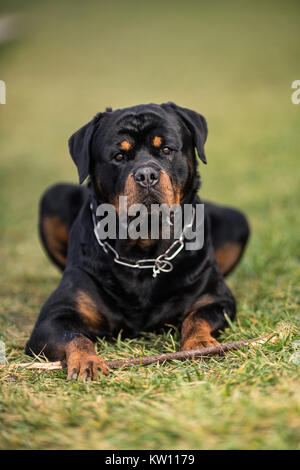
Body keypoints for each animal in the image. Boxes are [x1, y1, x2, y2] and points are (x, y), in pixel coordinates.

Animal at [25, 103, 250, 382]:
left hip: (236, 221)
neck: (143, 253)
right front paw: (87, 361)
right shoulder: (54, 318)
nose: (146, 174)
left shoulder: (216, 300)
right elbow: (75, 336)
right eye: (119, 156)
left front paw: (200, 345)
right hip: (53, 196)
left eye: (166, 150)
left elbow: (197, 319)